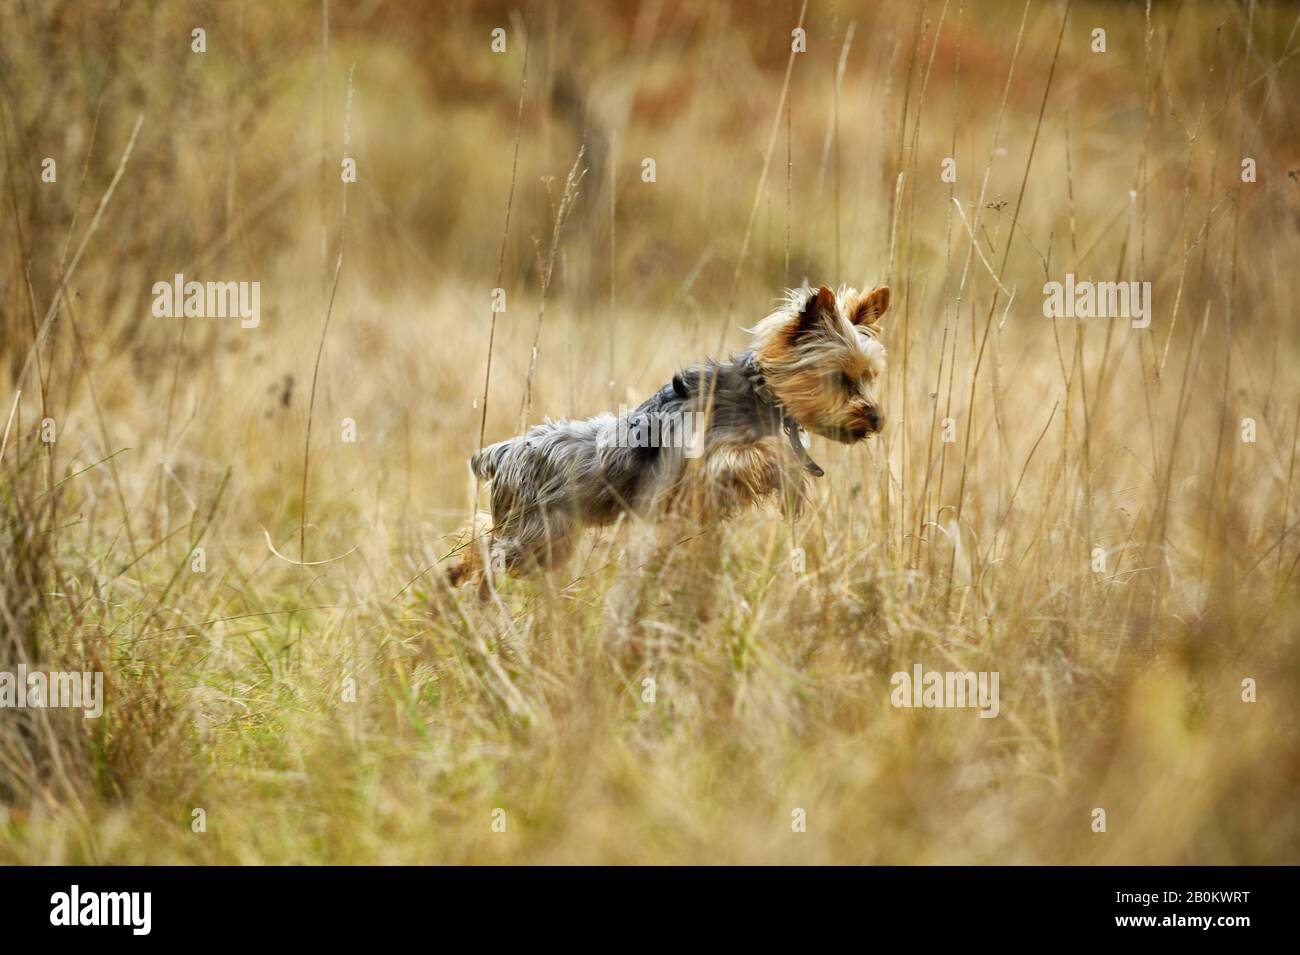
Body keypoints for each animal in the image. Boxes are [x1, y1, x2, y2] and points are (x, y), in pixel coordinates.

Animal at [449, 283, 894, 582]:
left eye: (870, 377)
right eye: (841, 379)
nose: (876, 418)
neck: (761, 393)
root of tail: (501, 452)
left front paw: (793, 487)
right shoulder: (711, 463)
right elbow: (763, 452)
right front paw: (789, 474)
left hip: (539, 534)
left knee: (481, 531)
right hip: (537, 534)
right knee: (489, 549)